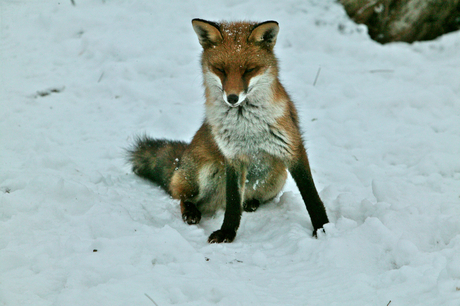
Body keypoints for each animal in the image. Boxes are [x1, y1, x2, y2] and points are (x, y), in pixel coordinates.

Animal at [129, 19, 328, 244]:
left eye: (249, 70)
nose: (232, 98)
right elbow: (233, 203)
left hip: (277, 176)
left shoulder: (292, 147)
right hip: (206, 170)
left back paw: (251, 202)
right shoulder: (232, 156)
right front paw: (227, 233)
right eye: (220, 69)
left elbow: (311, 196)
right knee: (182, 196)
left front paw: (323, 229)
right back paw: (191, 212)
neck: (247, 125)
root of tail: (181, 160)